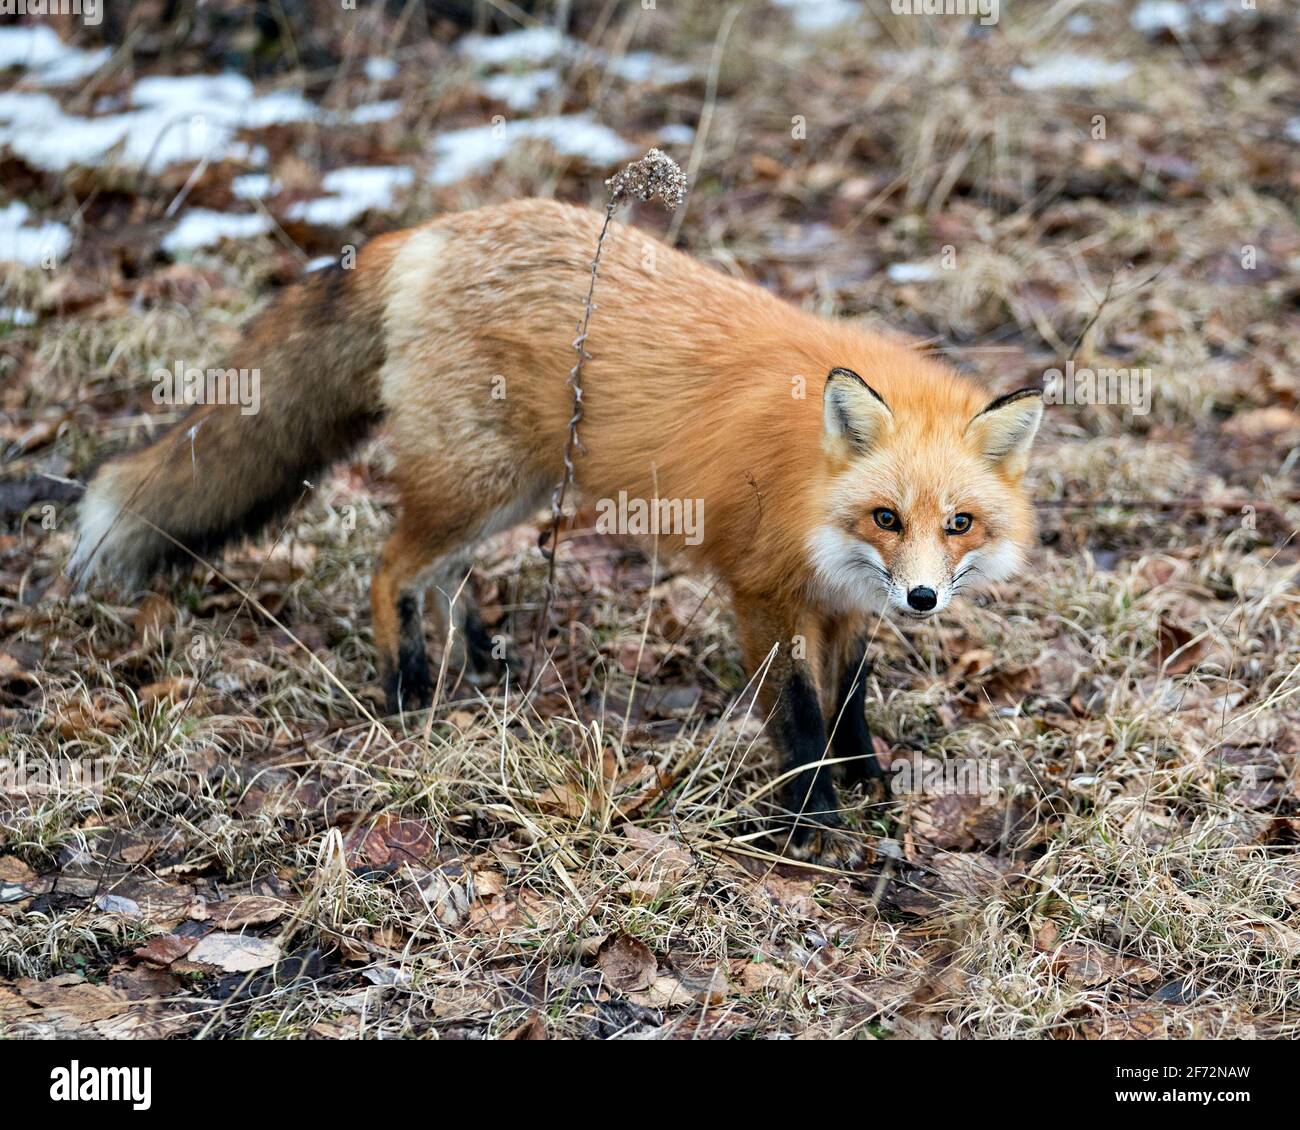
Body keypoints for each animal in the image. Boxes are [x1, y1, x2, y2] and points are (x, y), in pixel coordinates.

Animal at [71, 198, 1045, 858]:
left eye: (959, 524)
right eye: (887, 517)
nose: (922, 599)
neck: (811, 491)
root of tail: (425, 232)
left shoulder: (843, 605)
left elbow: (850, 707)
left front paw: (868, 787)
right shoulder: (762, 594)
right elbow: (800, 716)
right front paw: (812, 821)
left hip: (511, 491)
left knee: (440, 572)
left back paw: (479, 656)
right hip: (480, 483)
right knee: (391, 568)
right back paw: (408, 688)